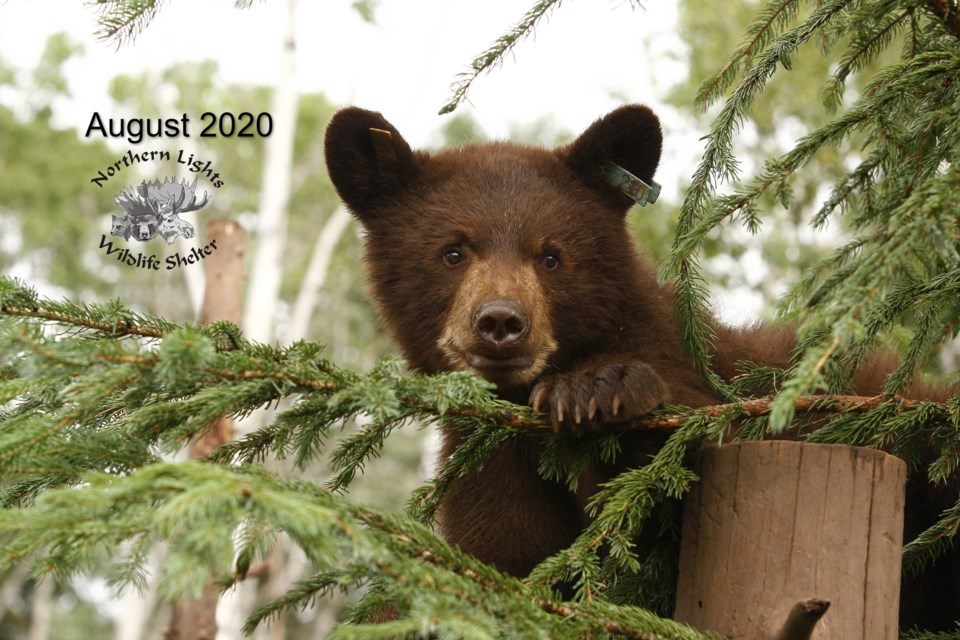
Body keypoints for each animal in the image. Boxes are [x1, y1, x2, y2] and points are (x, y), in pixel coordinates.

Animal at [326, 104, 956, 632]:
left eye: (551, 256)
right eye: (453, 252)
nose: (502, 322)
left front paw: (597, 388)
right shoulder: (488, 466)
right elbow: (506, 552)